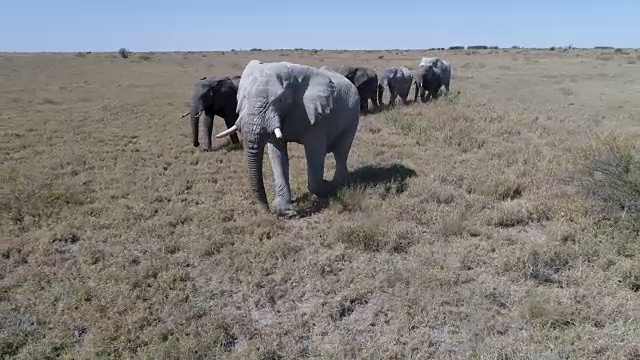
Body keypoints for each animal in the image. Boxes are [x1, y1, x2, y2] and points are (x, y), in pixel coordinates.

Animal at [215, 60, 360, 217]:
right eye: (244, 97)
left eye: (281, 100)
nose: (268, 211)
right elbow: (277, 153)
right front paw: (284, 209)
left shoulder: (316, 116)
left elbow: (315, 151)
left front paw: (324, 187)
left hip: (353, 117)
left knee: (341, 151)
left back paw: (337, 185)